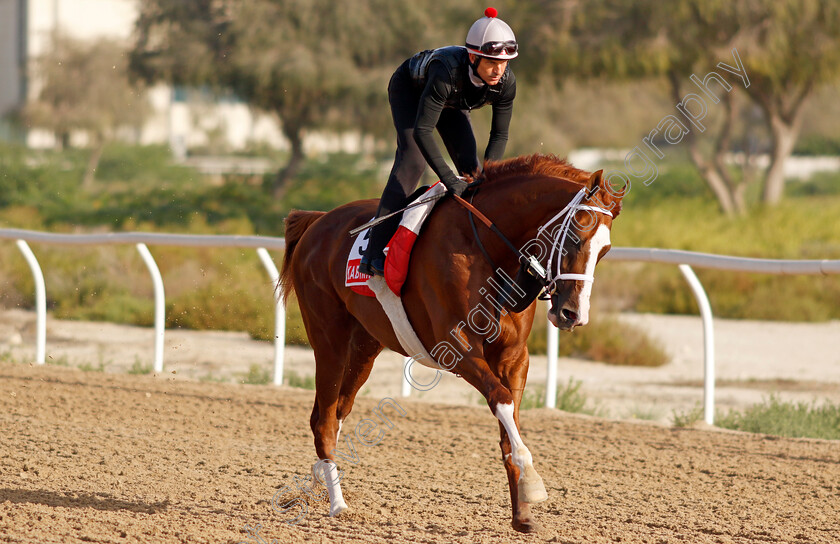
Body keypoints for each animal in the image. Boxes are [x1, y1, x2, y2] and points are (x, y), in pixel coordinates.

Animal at [282, 153, 624, 532]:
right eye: (575, 238)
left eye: (605, 251)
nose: (573, 313)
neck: (488, 250)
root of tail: (317, 221)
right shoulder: (456, 348)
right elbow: (503, 402)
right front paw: (533, 484)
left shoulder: (514, 357)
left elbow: (510, 424)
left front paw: (522, 513)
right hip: (329, 338)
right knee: (324, 420)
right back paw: (338, 504)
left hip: (364, 347)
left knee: (338, 411)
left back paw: (319, 480)